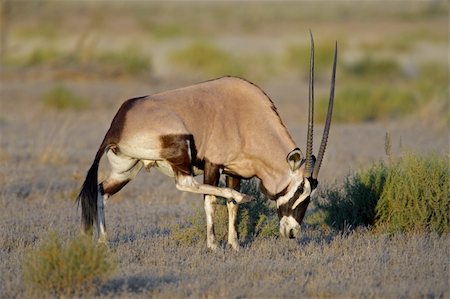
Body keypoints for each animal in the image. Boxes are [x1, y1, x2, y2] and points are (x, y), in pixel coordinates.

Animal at [78, 34, 338, 251]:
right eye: (299, 191)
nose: (293, 232)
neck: (249, 118)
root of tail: (120, 121)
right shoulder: (213, 165)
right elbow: (212, 200)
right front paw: (213, 244)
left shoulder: (235, 172)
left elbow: (232, 205)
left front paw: (235, 244)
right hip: (181, 147)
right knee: (184, 184)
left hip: (127, 169)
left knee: (101, 190)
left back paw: (103, 241)